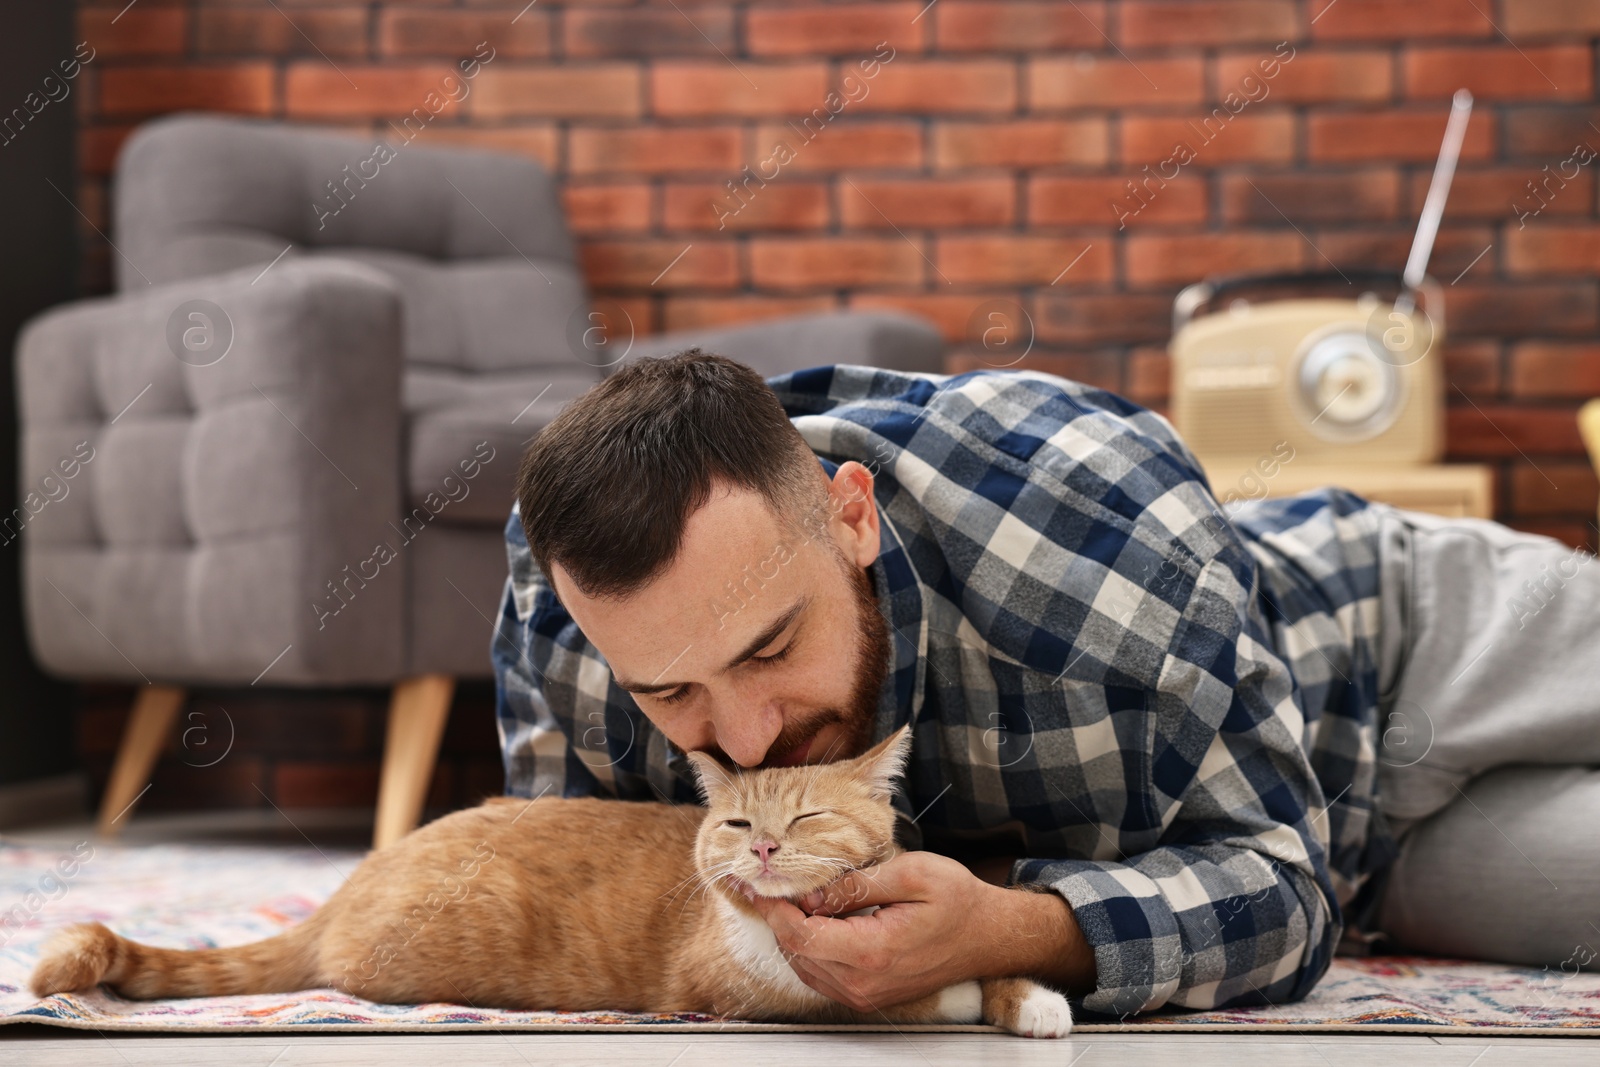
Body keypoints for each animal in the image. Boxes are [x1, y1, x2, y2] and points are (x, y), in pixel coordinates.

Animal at [28, 726, 1075, 1036]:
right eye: (740, 823)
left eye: (809, 818)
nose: (767, 851)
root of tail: (353, 881)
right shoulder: (739, 988)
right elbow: (894, 994)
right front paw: (969, 992)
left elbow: (990, 951)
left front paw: (1029, 996)